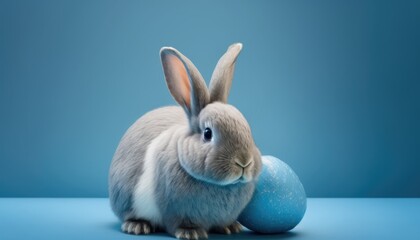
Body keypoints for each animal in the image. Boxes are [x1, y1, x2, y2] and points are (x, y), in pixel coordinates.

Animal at [110, 43, 264, 240]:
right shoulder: (175, 211)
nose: (244, 162)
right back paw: (137, 226)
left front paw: (230, 228)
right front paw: (191, 233)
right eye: (207, 133)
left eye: (248, 129)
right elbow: (180, 222)